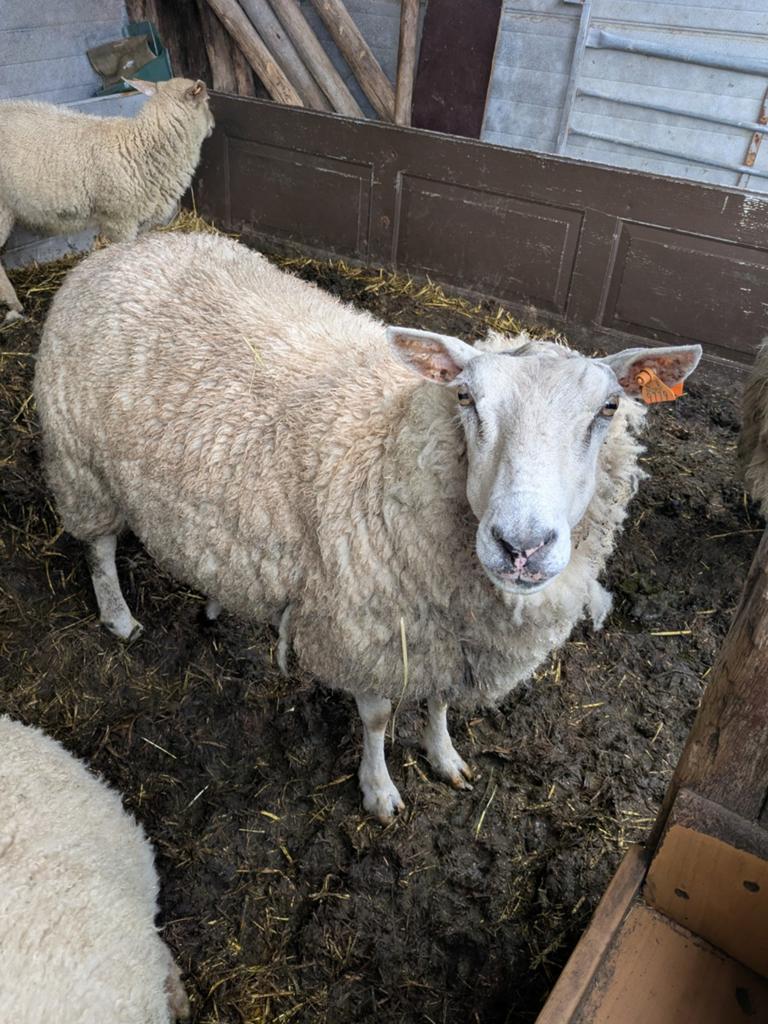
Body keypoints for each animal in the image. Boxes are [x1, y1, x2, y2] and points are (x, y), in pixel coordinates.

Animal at [33, 231, 702, 822]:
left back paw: (216, 603)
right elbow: (378, 719)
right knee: (97, 547)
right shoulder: (364, 629)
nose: (521, 546)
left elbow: (439, 702)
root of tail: (125, 247)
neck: (389, 447)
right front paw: (378, 790)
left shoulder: (444, 638)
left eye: (609, 407)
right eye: (466, 399)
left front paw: (445, 757)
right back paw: (118, 616)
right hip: (80, 463)